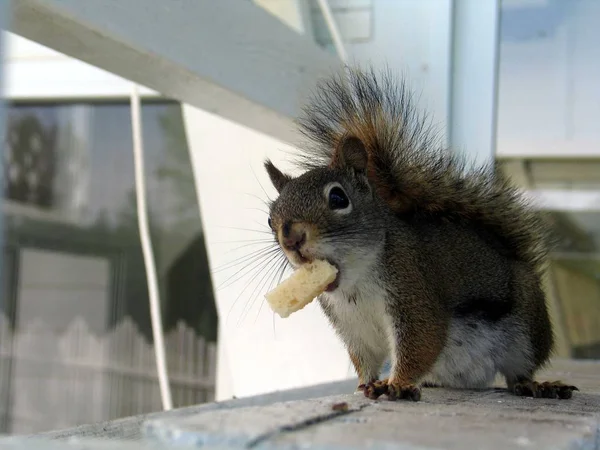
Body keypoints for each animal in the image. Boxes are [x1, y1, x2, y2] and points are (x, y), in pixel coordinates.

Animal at [262, 66, 576, 400]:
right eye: (270, 219)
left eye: (338, 198)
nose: (291, 238)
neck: (356, 284)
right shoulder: (353, 328)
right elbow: (365, 360)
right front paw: (365, 384)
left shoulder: (413, 290)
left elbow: (421, 342)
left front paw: (397, 384)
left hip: (527, 326)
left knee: (520, 371)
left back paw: (537, 384)